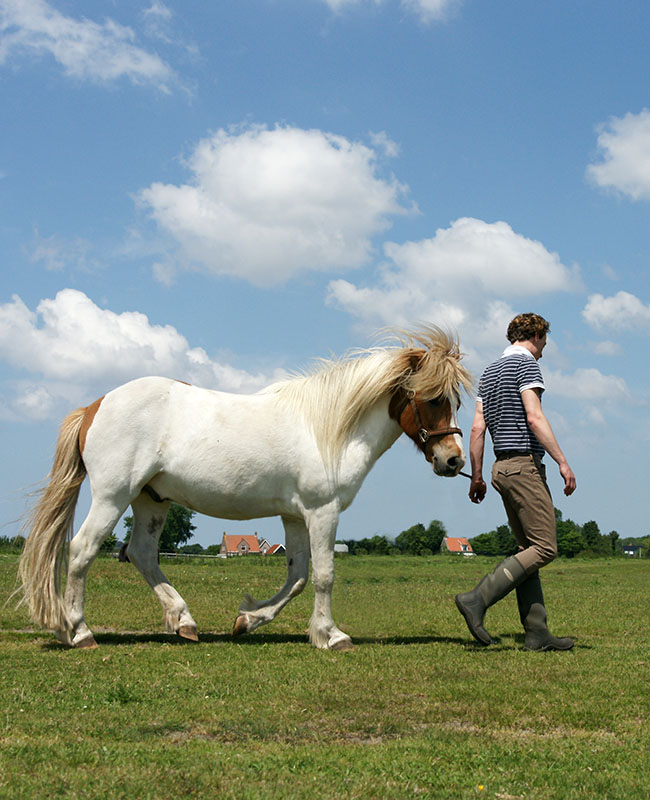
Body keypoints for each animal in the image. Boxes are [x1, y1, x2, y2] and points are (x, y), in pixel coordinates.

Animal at [16, 324, 470, 648]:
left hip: (151, 500)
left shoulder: (295, 515)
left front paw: (249, 619)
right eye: (433, 398)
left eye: (457, 401)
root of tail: (95, 405)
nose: (454, 460)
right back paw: (79, 632)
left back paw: (184, 622)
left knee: (141, 553)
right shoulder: (322, 511)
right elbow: (324, 574)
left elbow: (298, 575)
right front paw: (332, 636)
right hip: (113, 496)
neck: (329, 429)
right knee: (82, 550)